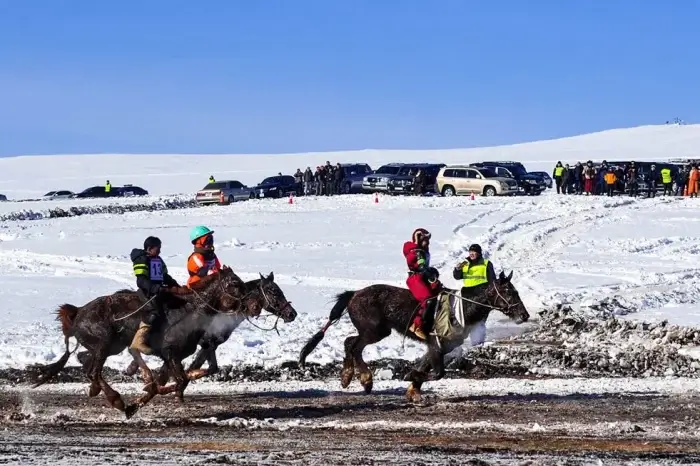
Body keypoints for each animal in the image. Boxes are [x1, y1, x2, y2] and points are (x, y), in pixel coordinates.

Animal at [33, 266, 296, 418]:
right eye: (273, 291)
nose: (291, 313)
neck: (193, 310)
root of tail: (77, 313)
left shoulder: (190, 350)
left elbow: (191, 373)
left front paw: (145, 397)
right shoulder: (173, 351)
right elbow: (178, 379)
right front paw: (157, 392)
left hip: (110, 346)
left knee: (86, 361)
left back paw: (103, 391)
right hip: (105, 343)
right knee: (94, 370)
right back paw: (116, 399)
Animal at [298, 272, 528, 402]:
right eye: (509, 291)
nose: (524, 315)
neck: (462, 308)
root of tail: (354, 294)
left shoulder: (439, 347)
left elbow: (424, 366)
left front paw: (413, 390)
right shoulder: (436, 344)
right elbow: (437, 373)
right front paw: (410, 378)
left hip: (375, 331)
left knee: (350, 343)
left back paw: (348, 377)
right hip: (375, 330)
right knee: (354, 347)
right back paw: (364, 379)